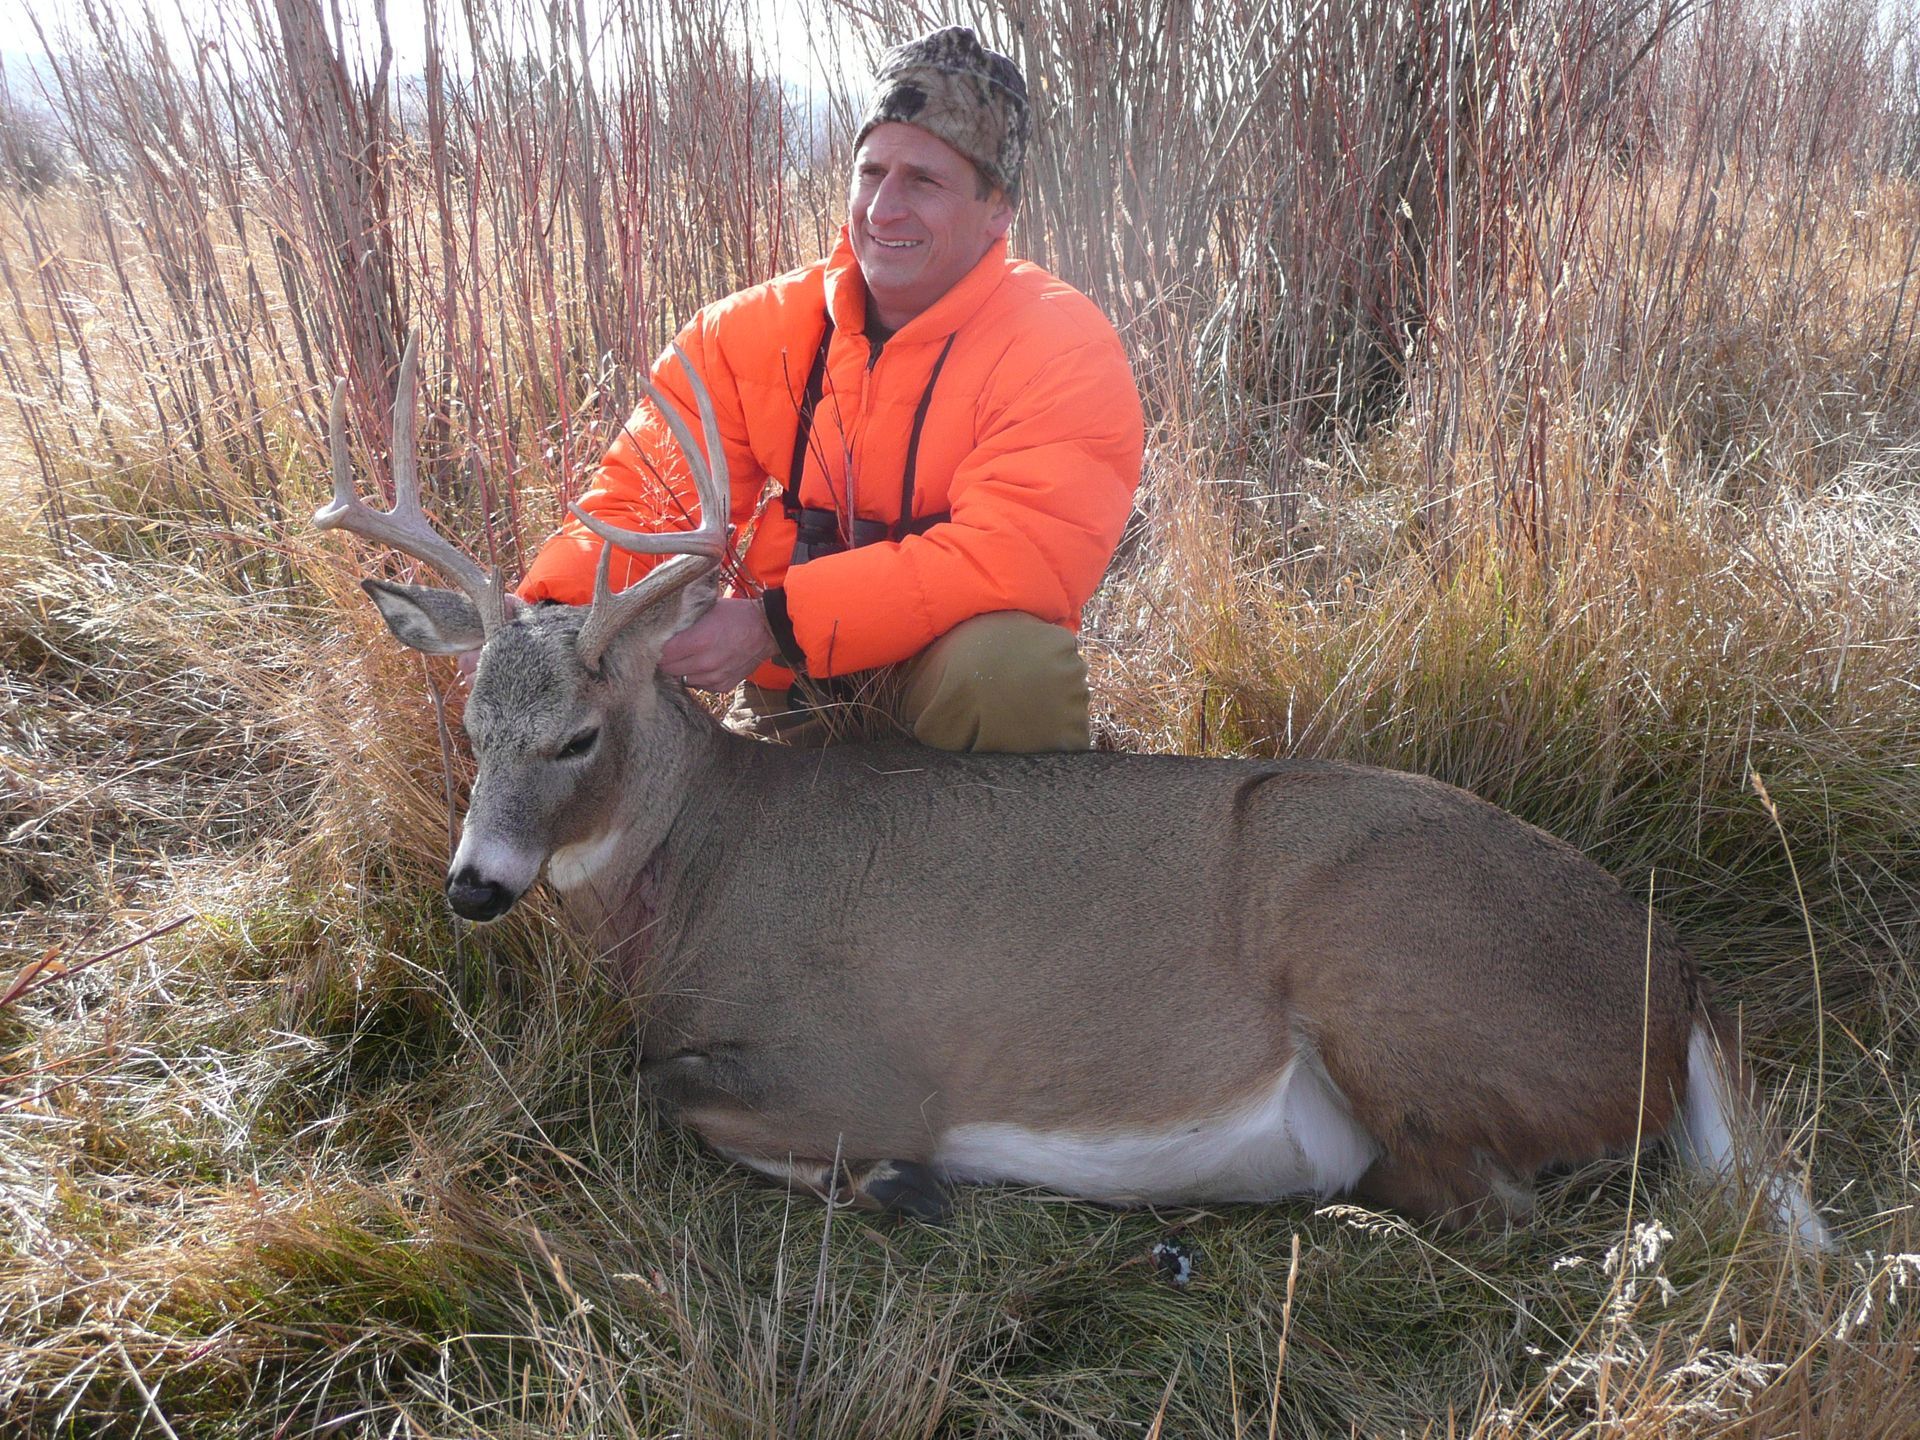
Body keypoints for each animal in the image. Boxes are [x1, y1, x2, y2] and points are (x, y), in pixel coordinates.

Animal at [316, 338, 1831, 1245]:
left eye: (581, 734)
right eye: (473, 722)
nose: (475, 884)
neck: (700, 871)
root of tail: (1681, 985)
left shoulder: (860, 1060)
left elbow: (673, 1095)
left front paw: (899, 1180)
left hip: (1384, 950)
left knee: (1482, 1193)